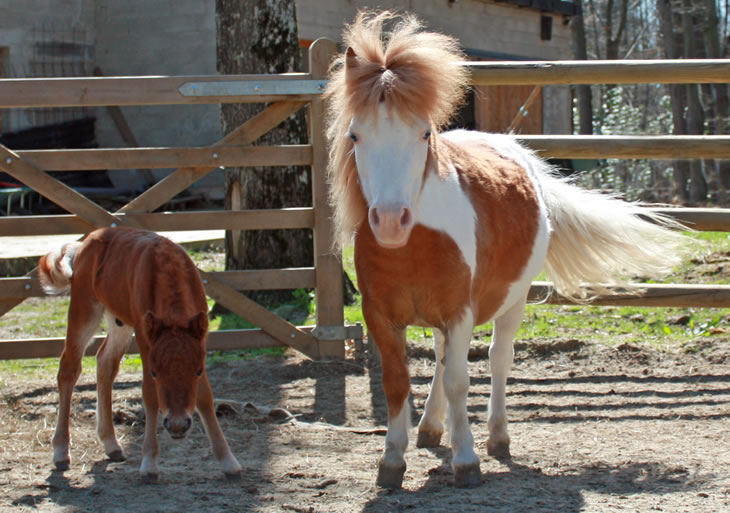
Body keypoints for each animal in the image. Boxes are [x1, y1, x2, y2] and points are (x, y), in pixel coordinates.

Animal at [39, 227, 242, 480]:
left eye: (197, 371)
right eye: (155, 373)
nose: (177, 425)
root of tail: (84, 243)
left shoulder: (199, 342)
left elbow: (205, 396)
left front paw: (228, 460)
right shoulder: (145, 341)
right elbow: (150, 395)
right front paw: (149, 463)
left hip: (118, 322)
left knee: (105, 362)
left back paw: (111, 444)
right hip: (84, 310)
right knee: (69, 368)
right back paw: (60, 451)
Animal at [324, 13, 688, 488]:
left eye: (424, 134)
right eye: (355, 135)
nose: (388, 220)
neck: (414, 245)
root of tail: (520, 153)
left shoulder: (460, 312)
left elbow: (461, 381)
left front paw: (466, 460)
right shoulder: (382, 317)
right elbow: (398, 382)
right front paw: (392, 460)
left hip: (514, 300)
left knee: (498, 360)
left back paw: (496, 437)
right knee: (443, 359)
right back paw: (431, 428)